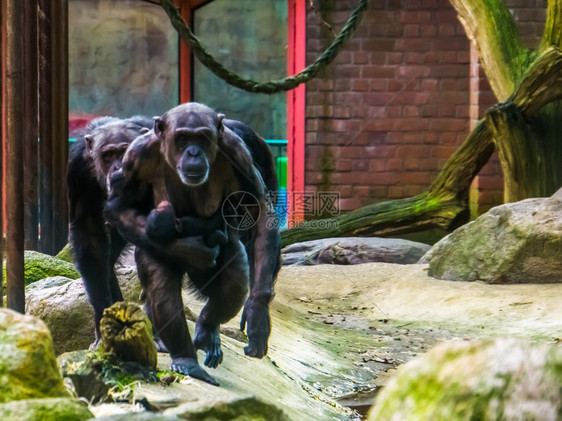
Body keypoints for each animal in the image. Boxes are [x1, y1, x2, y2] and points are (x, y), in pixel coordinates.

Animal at [67, 115, 221, 348]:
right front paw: (102, 323)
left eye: (123, 152)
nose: (117, 168)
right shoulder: (78, 168)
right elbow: (89, 232)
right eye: (108, 155)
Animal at [104, 103, 278, 386]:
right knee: (163, 289)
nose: (193, 152)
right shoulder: (135, 156)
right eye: (183, 138)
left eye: (203, 137)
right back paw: (186, 360)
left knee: (235, 281)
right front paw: (187, 247)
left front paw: (258, 316)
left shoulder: (237, 152)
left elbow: (260, 206)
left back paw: (207, 330)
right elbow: (120, 205)